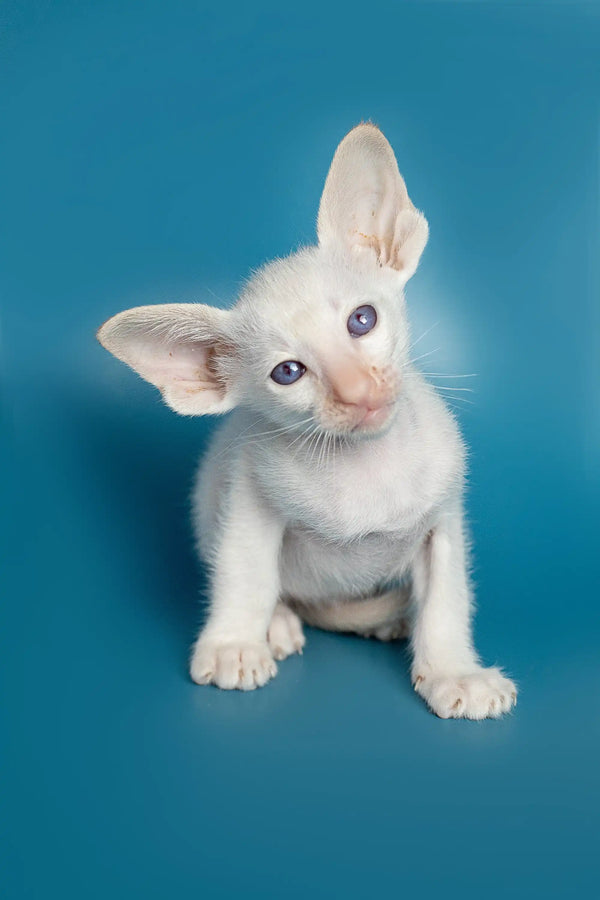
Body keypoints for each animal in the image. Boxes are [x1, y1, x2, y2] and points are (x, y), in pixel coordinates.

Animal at [98, 123, 516, 720]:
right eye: (288, 373)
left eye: (362, 320)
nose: (358, 392)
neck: (367, 465)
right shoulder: (250, 495)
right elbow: (246, 571)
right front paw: (234, 644)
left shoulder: (442, 519)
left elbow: (447, 601)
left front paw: (452, 672)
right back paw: (278, 624)